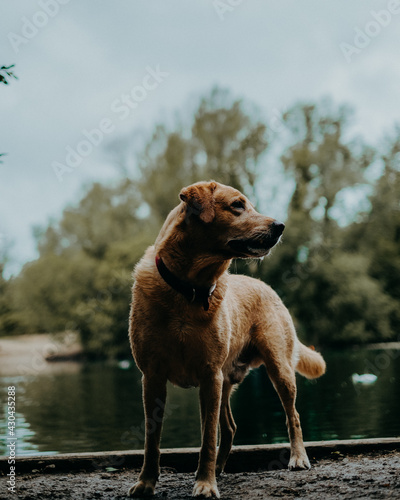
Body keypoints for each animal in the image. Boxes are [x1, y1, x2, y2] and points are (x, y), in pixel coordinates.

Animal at [128, 182, 324, 498]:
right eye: (237, 205)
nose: (280, 225)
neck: (187, 290)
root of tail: (266, 286)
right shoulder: (153, 377)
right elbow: (151, 440)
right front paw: (146, 482)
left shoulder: (209, 377)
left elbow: (208, 438)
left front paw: (205, 484)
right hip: (225, 382)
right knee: (230, 428)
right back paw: (220, 467)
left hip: (278, 369)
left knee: (292, 416)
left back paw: (297, 457)